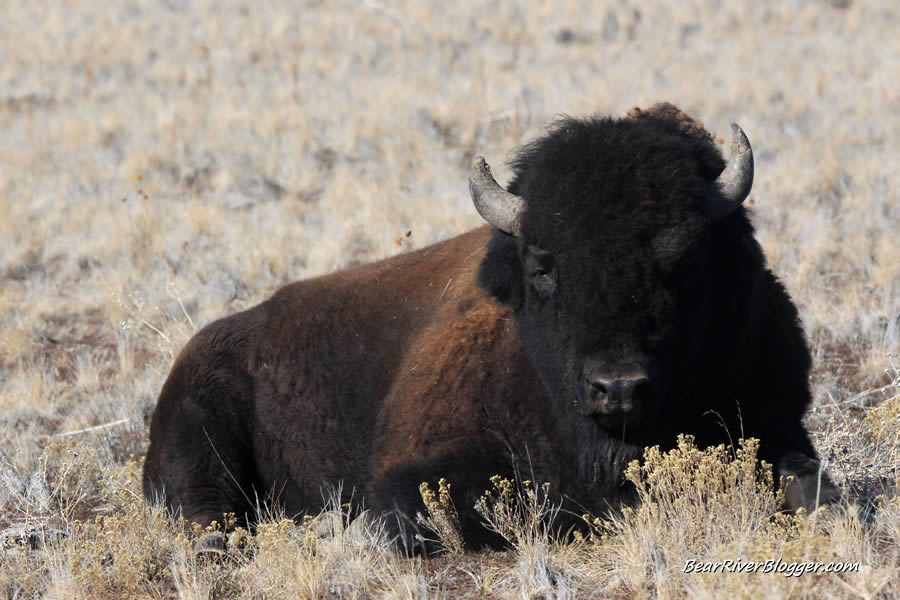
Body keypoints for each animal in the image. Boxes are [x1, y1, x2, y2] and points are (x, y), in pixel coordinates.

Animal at [144, 103, 840, 552]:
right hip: (198, 436)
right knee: (208, 511)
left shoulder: (778, 420)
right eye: (543, 266)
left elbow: (811, 489)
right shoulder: (415, 467)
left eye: (686, 261)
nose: (618, 388)